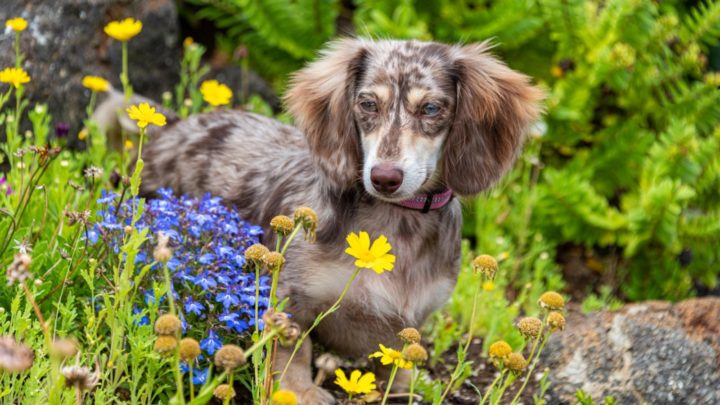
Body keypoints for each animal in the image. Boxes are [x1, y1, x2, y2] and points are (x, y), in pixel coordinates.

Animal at [136, 38, 540, 404]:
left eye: (430, 108)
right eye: (367, 104)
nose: (384, 178)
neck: (397, 224)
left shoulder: (413, 319)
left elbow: (397, 359)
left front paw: (401, 387)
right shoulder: (291, 296)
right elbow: (292, 348)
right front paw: (297, 391)